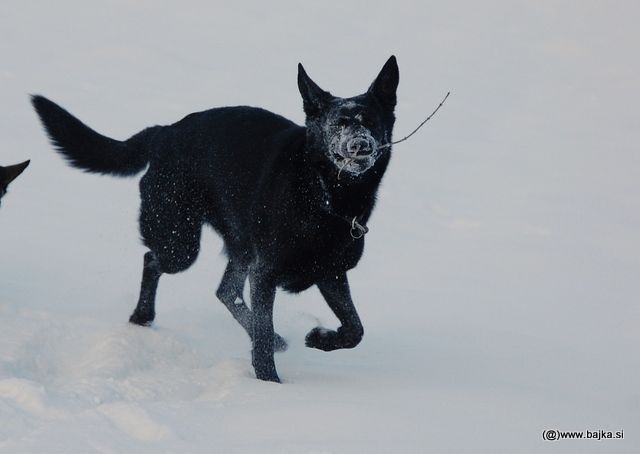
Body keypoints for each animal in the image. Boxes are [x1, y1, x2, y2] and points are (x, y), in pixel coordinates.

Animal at [32, 56, 400, 384]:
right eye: (338, 123)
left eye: (371, 120)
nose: (360, 145)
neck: (322, 194)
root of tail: (164, 133)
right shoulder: (265, 273)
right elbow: (264, 333)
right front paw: (268, 384)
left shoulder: (330, 272)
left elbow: (355, 328)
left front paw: (321, 337)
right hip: (180, 243)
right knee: (153, 259)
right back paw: (142, 318)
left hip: (238, 246)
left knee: (225, 291)